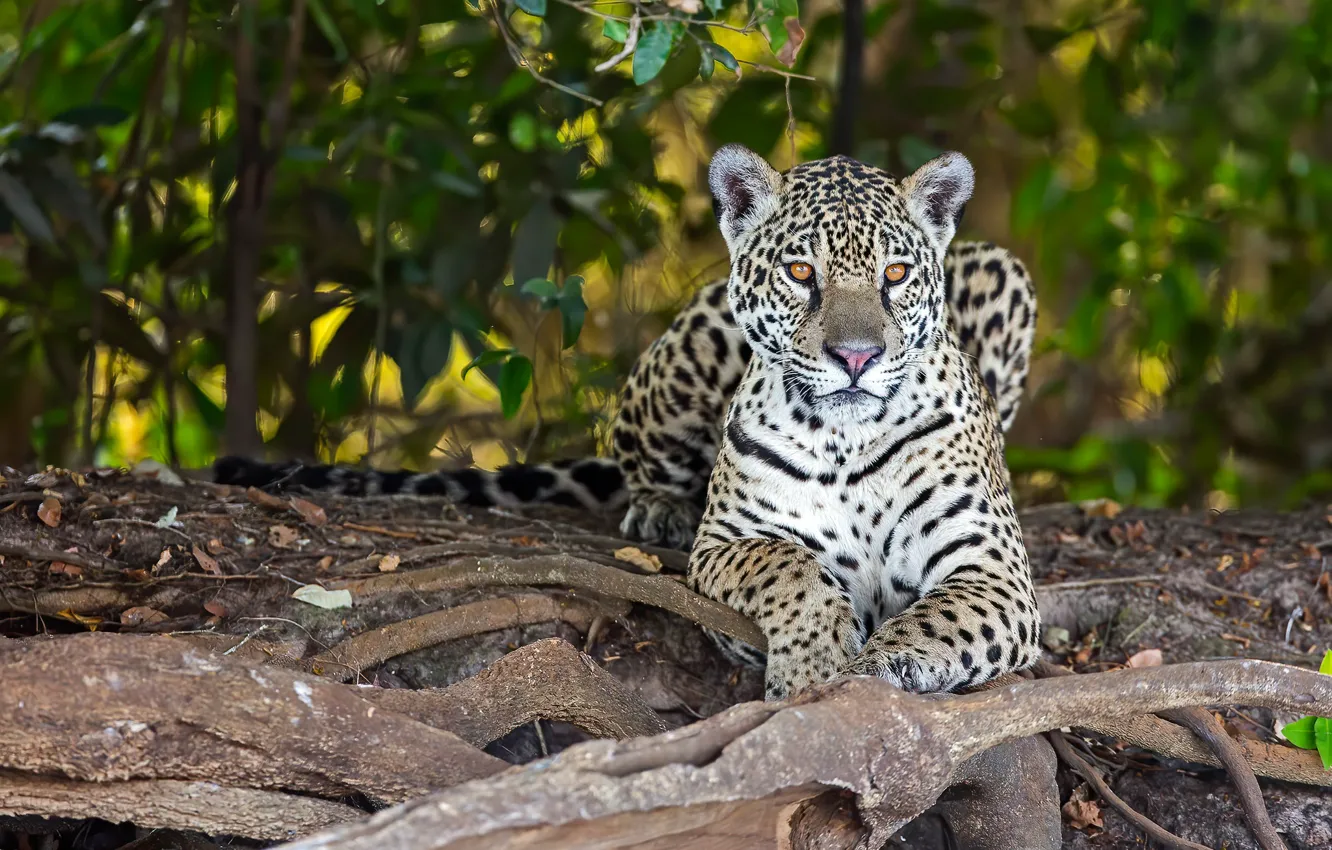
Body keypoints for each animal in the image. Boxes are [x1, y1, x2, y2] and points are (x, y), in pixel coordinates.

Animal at [214, 145, 1040, 700]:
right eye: (801, 273)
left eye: (895, 275)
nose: (858, 357)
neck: (845, 440)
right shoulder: (727, 545)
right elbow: (793, 569)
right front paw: (811, 666)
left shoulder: (995, 571)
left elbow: (938, 619)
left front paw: (875, 664)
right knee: (642, 458)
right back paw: (657, 509)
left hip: (1003, 268)